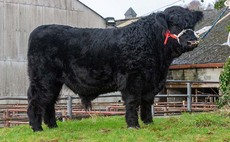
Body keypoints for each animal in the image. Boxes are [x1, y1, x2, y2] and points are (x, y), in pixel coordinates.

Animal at [27, 6, 203, 131]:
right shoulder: (132, 78)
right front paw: (133, 125)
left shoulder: (152, 82)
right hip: (43, 78)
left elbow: (147, 102)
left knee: (49, 100)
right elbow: (133, 100)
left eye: (191, 24)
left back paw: (52, 126)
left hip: (54, 81)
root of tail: (39, 29)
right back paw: (37, 128)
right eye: (174, 24)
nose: (192, 41)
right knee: (37, 100)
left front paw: (148, 122)